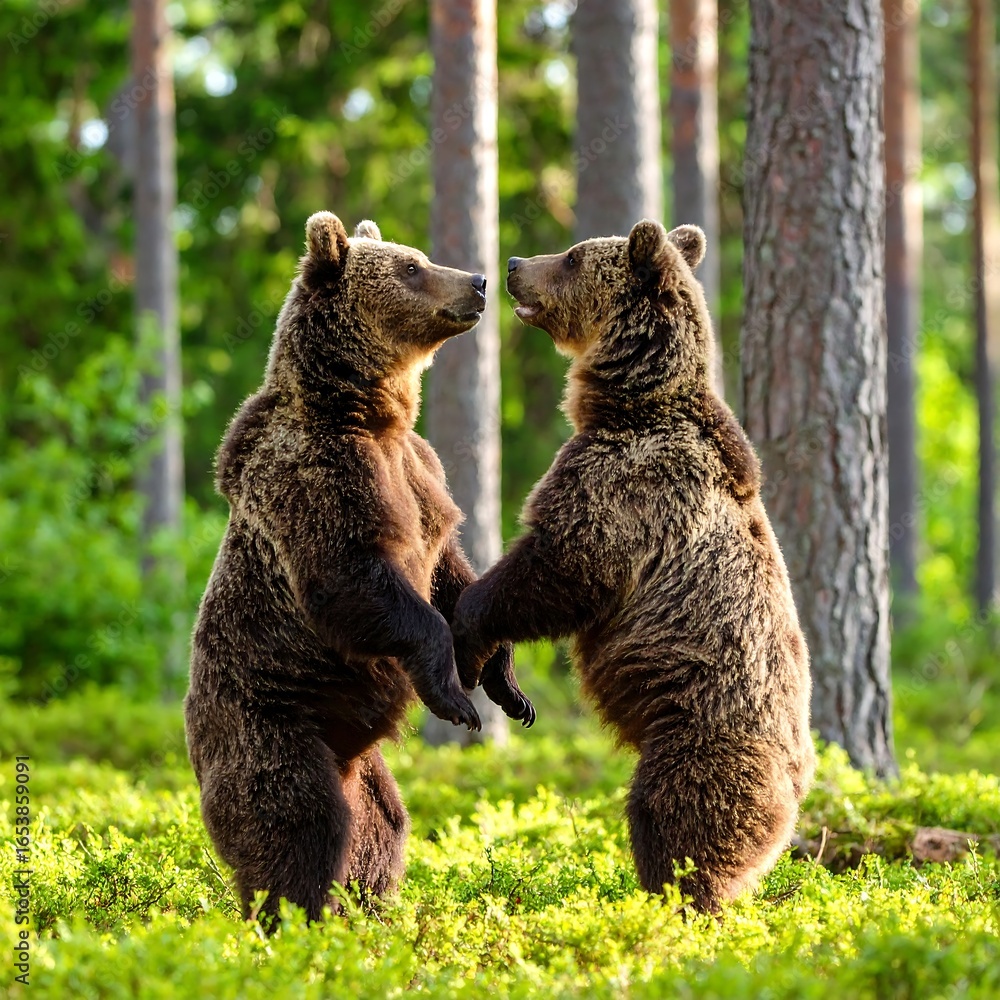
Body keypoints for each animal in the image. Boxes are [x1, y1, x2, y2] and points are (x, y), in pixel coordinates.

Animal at [184, 212, 534, 927]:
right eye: (411, 266)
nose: (479, 279)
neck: (366, 410)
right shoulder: (320, 477)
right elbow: (353, 578)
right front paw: (455, 696)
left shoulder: (420, 473)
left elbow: (449, 571)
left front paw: (506, 683)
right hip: (272, 726)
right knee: (297, 823)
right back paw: (297, 918)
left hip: (363, 768)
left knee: (382, 827)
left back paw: (369, 908)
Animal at [450, 220, 816, 912]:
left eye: (571, 257)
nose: (512, 263)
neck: (631, 401)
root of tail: (799, 788)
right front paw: (509, 689)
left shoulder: (630, 484)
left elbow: (561, 566)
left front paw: (470, 633)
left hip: (700, 734)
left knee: (675, 818)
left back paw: (673, 902)